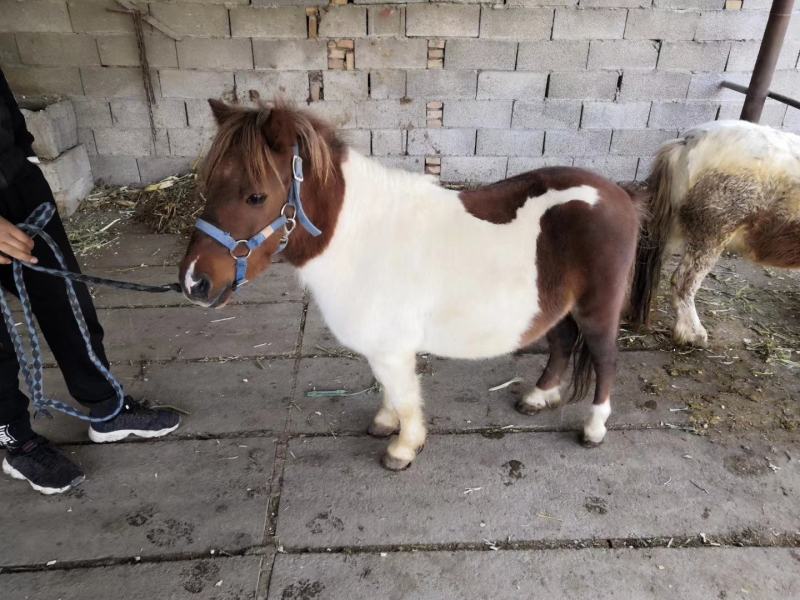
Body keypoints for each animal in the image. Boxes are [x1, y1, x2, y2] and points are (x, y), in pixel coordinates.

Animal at [179, 99, 641, 470]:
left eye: (256, 196)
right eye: (209, 185)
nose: (193, 281)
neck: (360, 234)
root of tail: (621, 197)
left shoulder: (392, 348)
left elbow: (403, 395)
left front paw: (403, 447)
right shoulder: (382, 348)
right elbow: (389, 389)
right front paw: (386, 424)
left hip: (597, 311)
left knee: (606, 361)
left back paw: (594, 429)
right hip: (557, 307)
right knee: (561, 345)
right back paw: (538, 397)